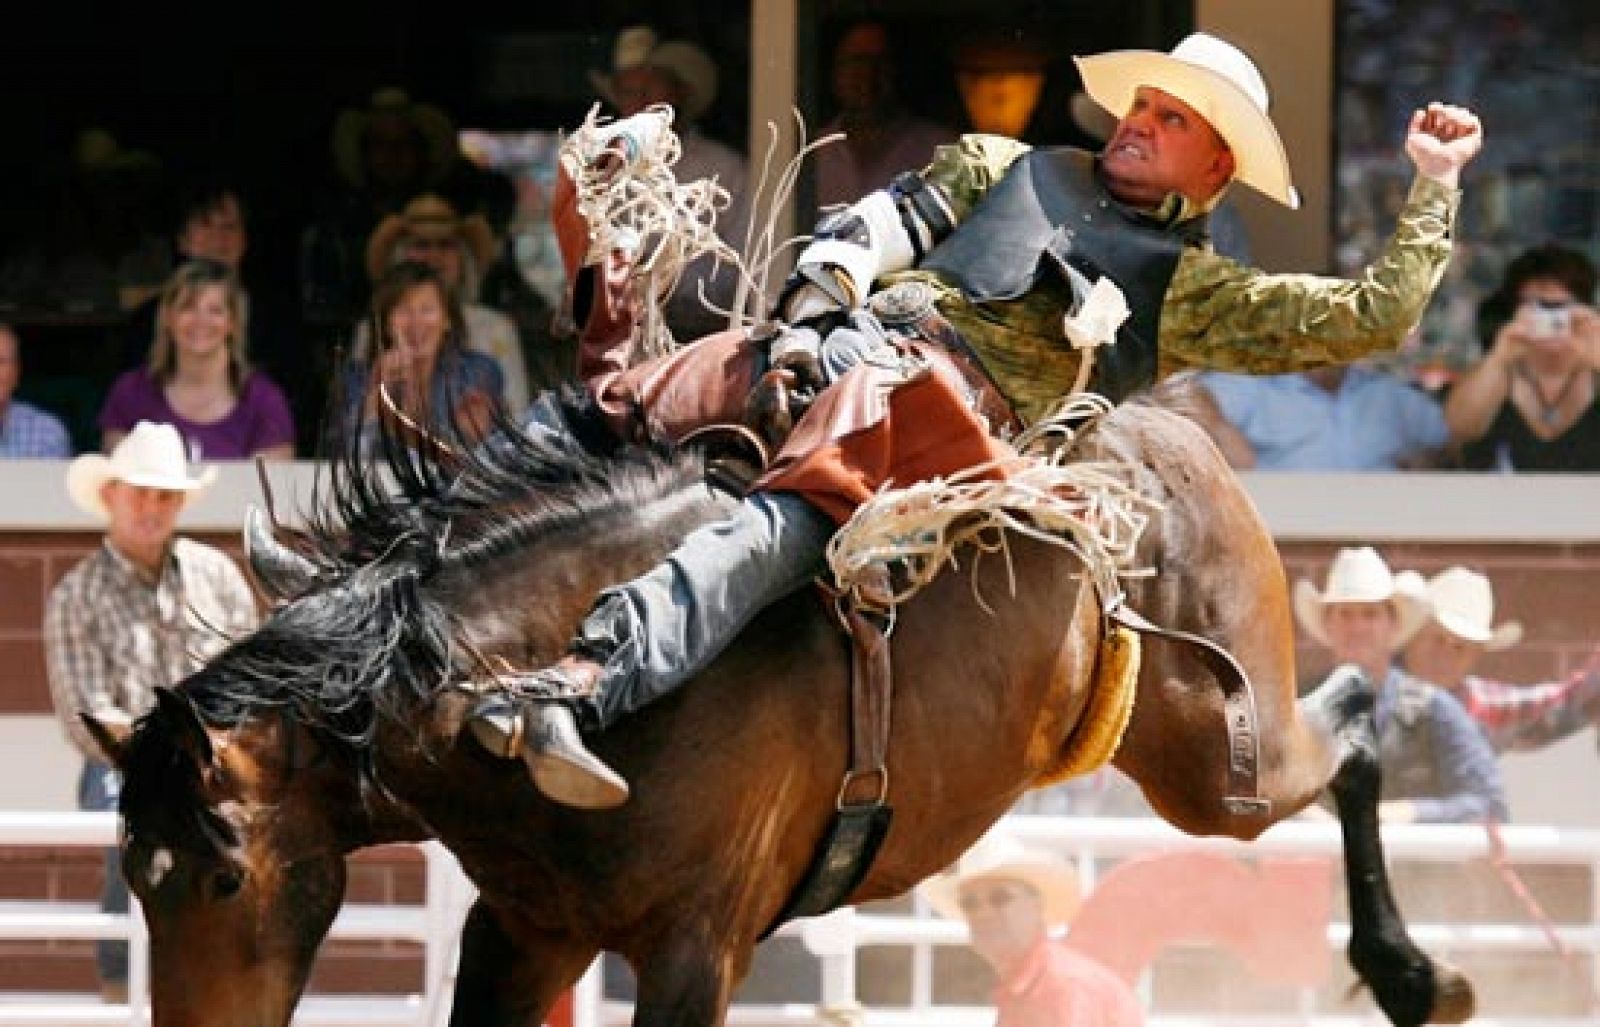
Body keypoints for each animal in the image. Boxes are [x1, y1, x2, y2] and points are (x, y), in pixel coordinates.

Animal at [84, 382, 1465, 1023]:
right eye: (135, 879)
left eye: (220, 874)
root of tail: (1164, 434)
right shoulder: (522, 933)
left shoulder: (699, 947)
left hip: (1220, 759)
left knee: (1354, 719)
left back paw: (1417, 974)